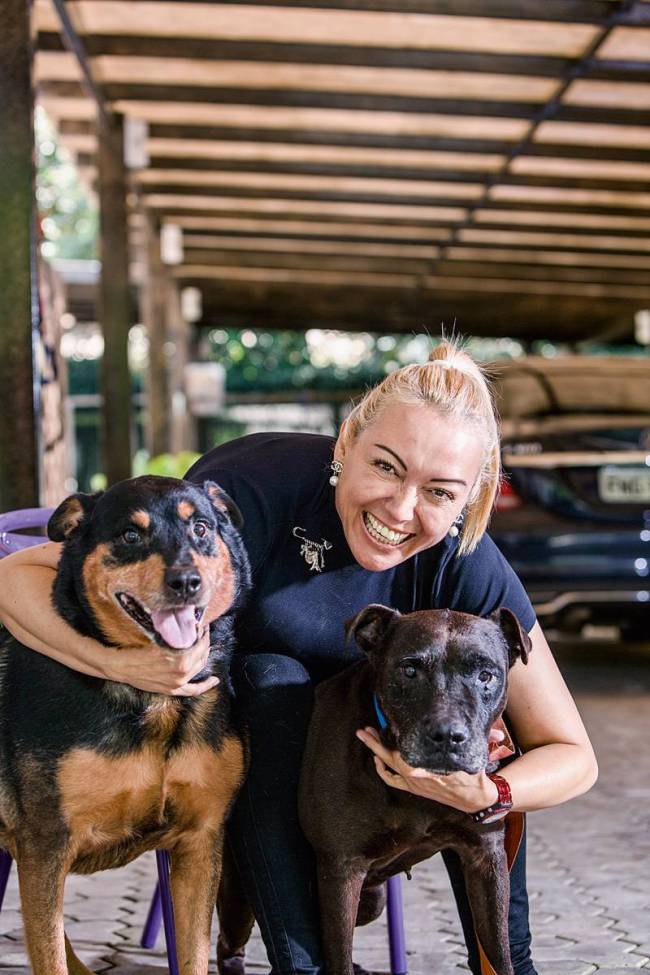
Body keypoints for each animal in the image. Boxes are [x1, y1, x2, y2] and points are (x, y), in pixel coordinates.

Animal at [0, 476, 249, 975]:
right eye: (131, 536)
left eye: (200, 528)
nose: (186, 582)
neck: (153, 699)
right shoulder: (44, 845)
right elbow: (48, 951)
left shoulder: (200, 841)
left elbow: (193, 955)